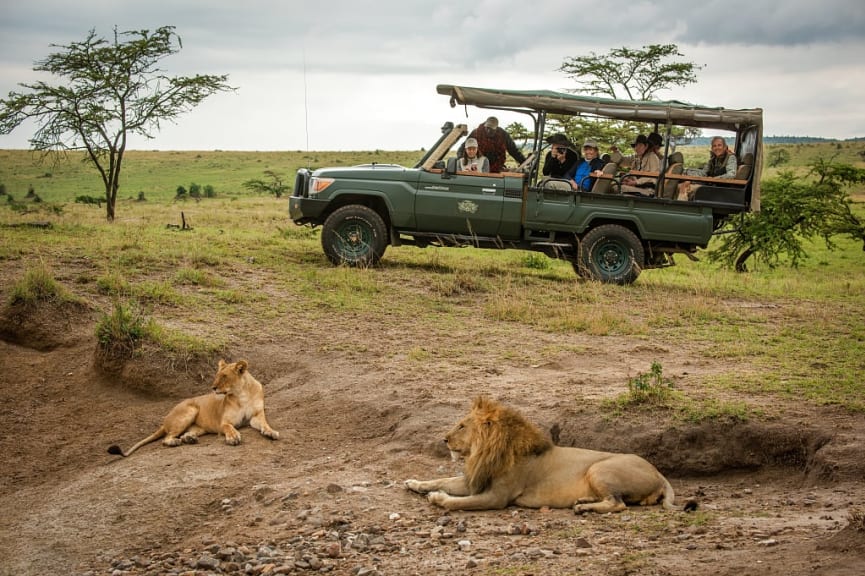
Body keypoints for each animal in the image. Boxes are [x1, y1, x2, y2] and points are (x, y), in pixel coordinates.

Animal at [106, 358, 278, 456]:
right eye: (216, 376)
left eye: (224, 376)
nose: (213, 388)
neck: (241, 393)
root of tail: (165, 420)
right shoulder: (224, 422)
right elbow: (229, 428)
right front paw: (233, 437)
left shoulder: (256, 415)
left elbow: (264, 424)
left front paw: (271, 432)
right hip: (190, 410)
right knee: (167, 438)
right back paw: (175, 442)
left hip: (197, 426)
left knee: (184, 434)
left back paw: (189, 439)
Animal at [404, 396, 696, 512]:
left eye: (462, 426)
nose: (444, 439)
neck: (485, 453)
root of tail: (659, 473)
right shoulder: (475, 480)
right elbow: (441, 479)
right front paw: (414, 483)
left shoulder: (497, 497)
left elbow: (458, 502)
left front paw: (437, 498)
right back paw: (583, 501)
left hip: (599, 468)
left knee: (618, 504)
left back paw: (583, 509)